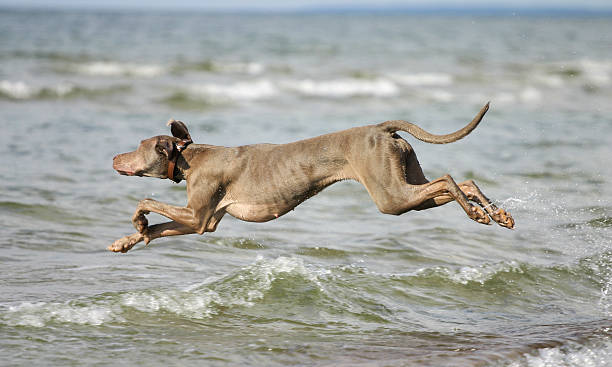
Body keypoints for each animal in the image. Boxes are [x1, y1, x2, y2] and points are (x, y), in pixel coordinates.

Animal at [109, 103, 512, 253]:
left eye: (137, 147)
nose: (114, 157)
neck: (190, 158)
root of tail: (381, 129)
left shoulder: (197, 215)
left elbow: (146, 200)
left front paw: (137, 222)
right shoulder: (203, 223)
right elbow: (158, 229)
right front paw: (127, 240)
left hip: (391, 197)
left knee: (446, 178)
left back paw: (480, 214)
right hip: (406, 186)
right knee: (462, 183)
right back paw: (496, 213)